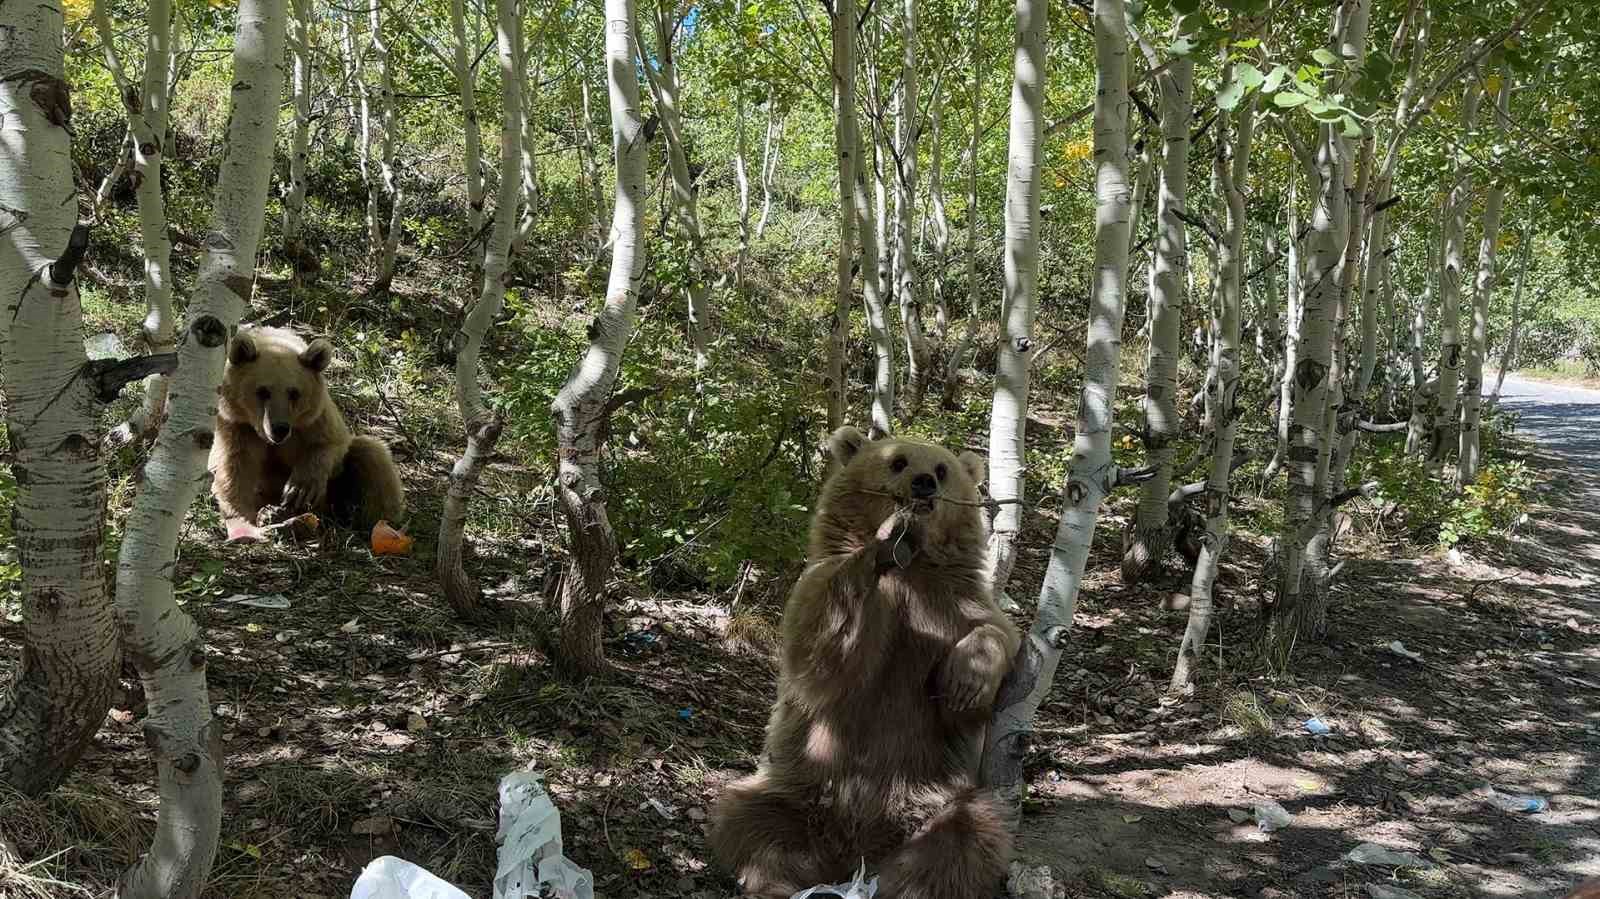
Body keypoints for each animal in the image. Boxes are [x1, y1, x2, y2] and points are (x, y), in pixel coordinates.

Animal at [209, 324, 406, 543]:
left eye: (294, 392)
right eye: (263, 391)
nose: (279, 428)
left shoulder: (314, 419)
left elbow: (330, 443)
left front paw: (299, 489)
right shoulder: (235, 425)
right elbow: (235, 470)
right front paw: (245, 525)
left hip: (337, 490)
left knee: (371, 455)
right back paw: (283, 519)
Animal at [716, 425, 1024, 895]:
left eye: (943, 468)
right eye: (897, 461)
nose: (924, 483)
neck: (909, 568)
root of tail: (853, 850)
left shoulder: (953, 604)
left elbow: (996, 636)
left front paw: (966, 681)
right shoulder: (824, 590)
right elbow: (820, 653)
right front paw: (886, 535)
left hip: (937, 798)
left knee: (965, 840)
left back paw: (904, 884)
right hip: (797, 787)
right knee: (752, 821)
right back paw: (776, 881)